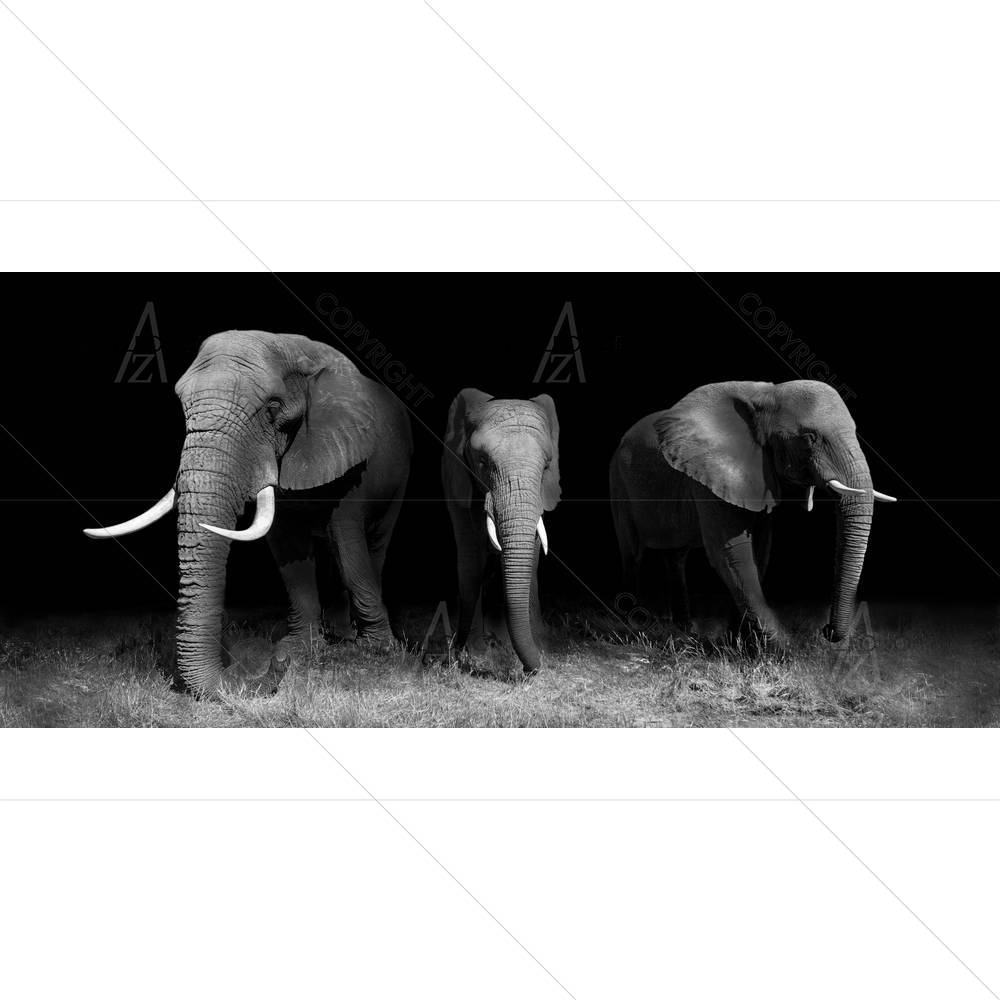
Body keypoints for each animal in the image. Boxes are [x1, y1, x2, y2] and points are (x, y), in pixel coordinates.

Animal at [85, 331, 412, 696]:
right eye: (184, 406)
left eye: (272, 408)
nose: (276, 664)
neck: (295, 350)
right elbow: (288, 550)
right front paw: (298, 648)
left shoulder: (350, 455)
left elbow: (348, 543)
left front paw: (377, 650)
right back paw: (339, 634)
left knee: (373, 544)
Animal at [442, 389, 561, 675]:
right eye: (482, 462)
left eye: (547, 466)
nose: (529, 671)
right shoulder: (455, 478)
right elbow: (471, 557)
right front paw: (476, 656)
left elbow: (532, 557)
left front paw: (539, 649)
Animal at [609, 379, 895, 648]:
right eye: (808, 439)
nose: (826, 631)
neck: (766, 396)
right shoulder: (707, 474)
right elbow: (730, 553)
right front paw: (783, 649)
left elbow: (760, 549)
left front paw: (740, 643)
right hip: (619, 484)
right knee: (632, 553)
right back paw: (629, 628)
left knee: (675, 556)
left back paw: (684, 631)